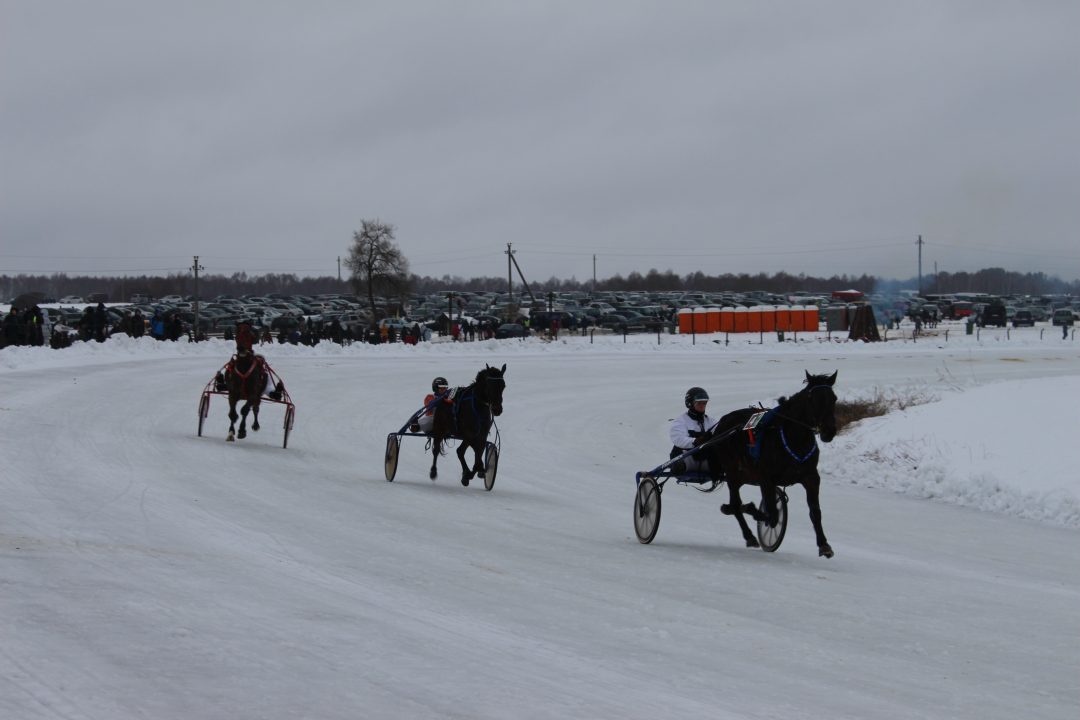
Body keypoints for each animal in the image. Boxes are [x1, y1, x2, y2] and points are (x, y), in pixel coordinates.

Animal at [707, 370, 839, 558]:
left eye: (833, 398)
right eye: (813, 399)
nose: (829, 431)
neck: (794, 438)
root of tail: (723, 422)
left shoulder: (811, 477)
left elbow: (815, 512)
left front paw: (824, 545)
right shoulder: (766, 478)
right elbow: (772, 514)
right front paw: (756, 511)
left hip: (743, 475)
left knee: (736, 504)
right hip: (733, 473)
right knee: (736, 504)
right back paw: (748, 532)